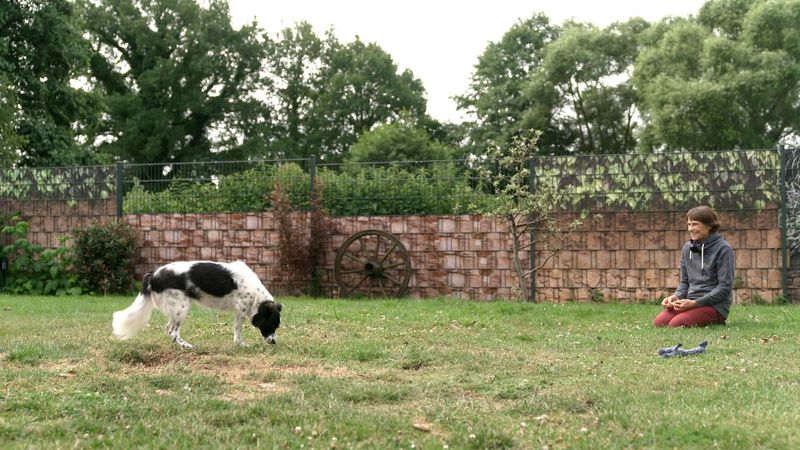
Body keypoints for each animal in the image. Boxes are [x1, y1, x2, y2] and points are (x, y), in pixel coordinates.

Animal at [112, 262, 282, 350]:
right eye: (271, 325)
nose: (274, 342)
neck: (256, 293)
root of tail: (153, 276)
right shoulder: (241, 309)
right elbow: (238, 332)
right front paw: (240, 345)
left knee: (169, 330)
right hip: (181, 307)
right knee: (172, 331)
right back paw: (187, 346)